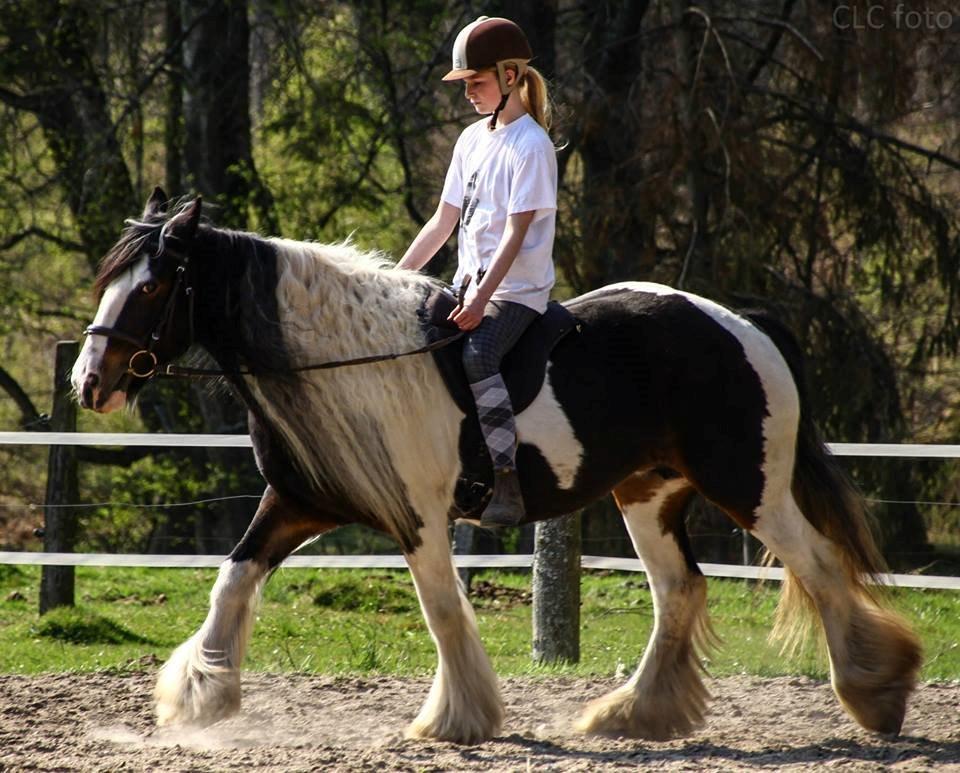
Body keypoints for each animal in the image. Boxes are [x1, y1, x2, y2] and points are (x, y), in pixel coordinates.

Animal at [71, 187, 920, 740]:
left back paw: (876, 693)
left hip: (750, 487)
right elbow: (233, 577)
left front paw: (458, 718)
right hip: (647, 494)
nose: (89, 381)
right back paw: (631, 714)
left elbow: (443, 610)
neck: (343, 363)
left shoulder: (417, 516)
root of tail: (741, 321)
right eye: (109, 279)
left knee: (817, 564)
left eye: (152, 285)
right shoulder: (298, 500)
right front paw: (200, 696)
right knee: (680, 590)